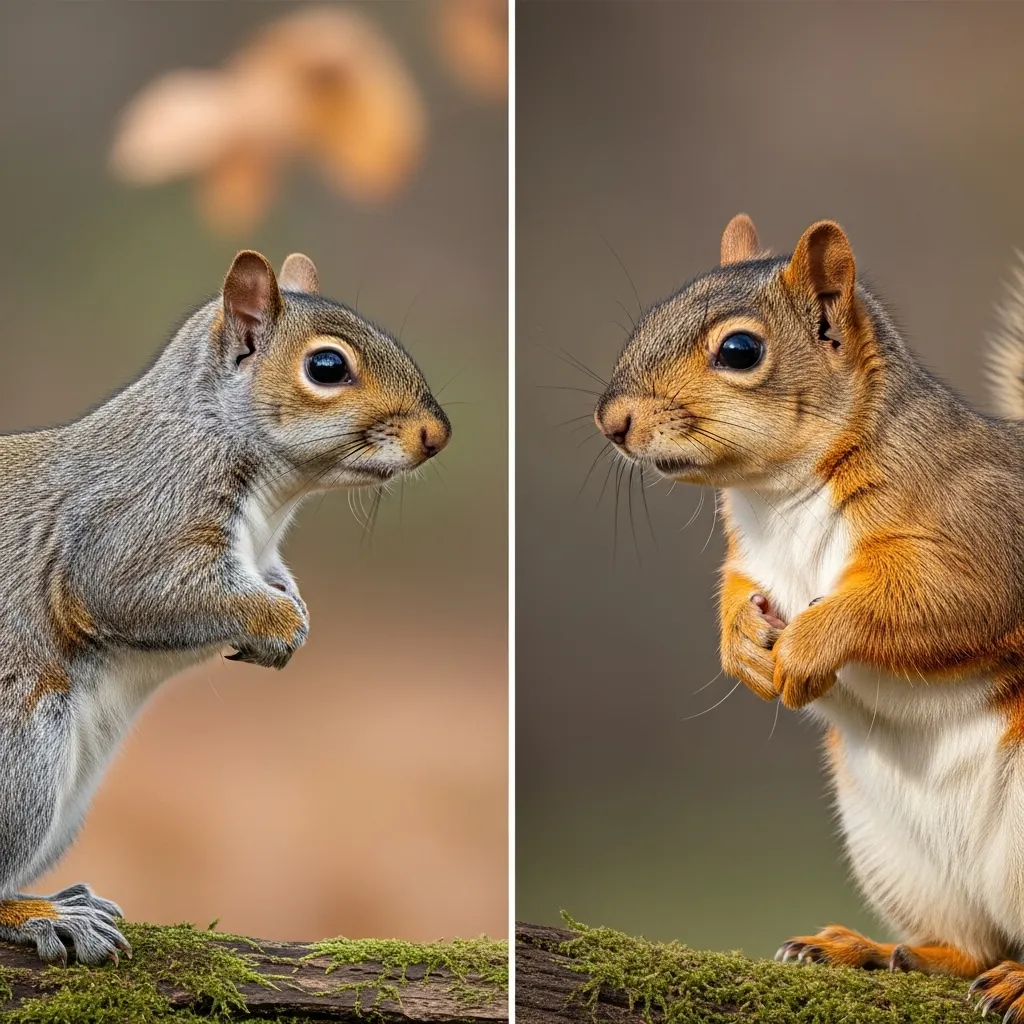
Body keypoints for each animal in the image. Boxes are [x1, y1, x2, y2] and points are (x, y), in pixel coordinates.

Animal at [0, 249, 450, 967]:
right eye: (327, 367)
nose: (436, 435)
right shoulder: (138, 522)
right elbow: (135, 589)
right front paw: (279, 625)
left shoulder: (262, 555)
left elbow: (275, 582)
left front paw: (295, 617)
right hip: (21, 756)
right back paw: (42, 915)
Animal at [594, 213, 1024, 1018]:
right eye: (647, 320)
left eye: (739, 350)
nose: (611, 421)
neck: (781, 494)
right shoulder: (750, 561)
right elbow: (734, 596)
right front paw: (743, 650)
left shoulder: (980, 534)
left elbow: (931, 600)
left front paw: (805, 649)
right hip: (895, 852)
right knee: (973, 943)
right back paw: (875, 951)